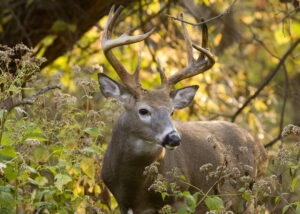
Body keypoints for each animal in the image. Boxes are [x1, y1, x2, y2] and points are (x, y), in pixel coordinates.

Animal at [98, 5, 268, 214]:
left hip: (250, 196)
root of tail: (261, 147)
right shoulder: (122, 202)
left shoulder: (181, 196)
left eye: (172, 111)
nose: (174, 138)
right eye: (143, 110)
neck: (133, 189)